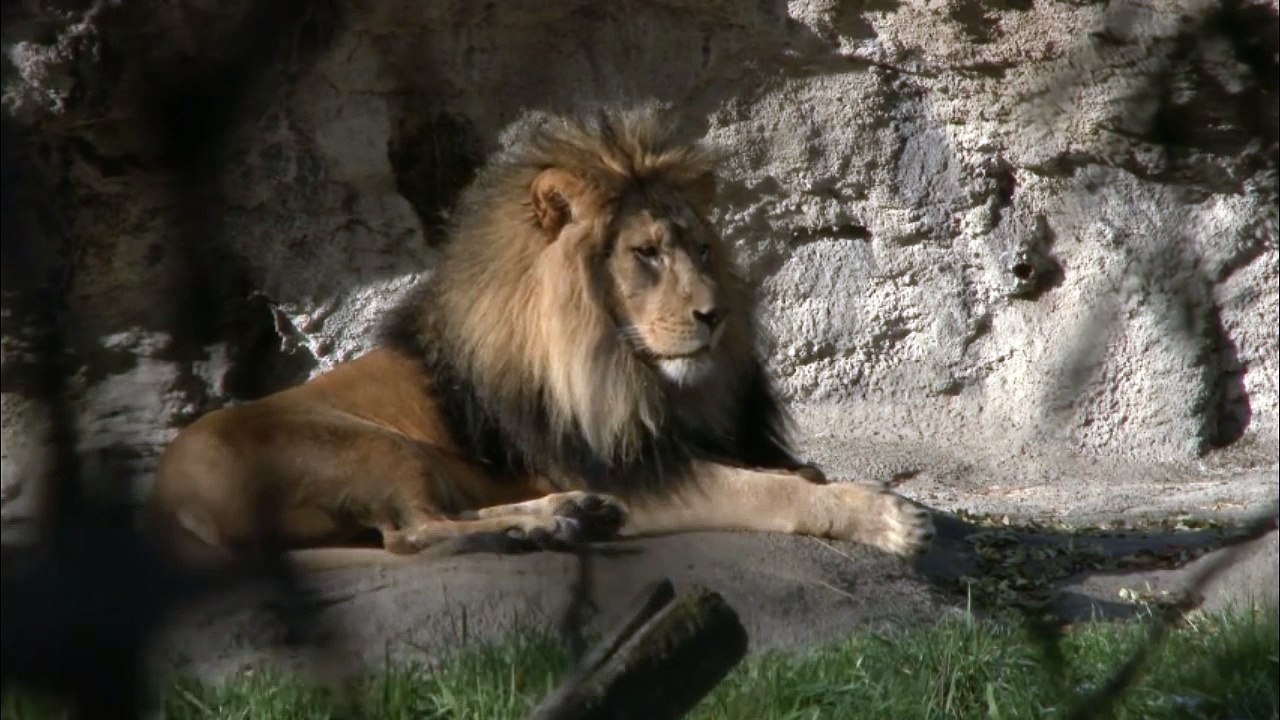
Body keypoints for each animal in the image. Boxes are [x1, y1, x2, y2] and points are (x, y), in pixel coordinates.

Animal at [147, 108, 934, 566]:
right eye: (647, 254)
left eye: (703, 250)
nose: (716, 316)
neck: (641, 377)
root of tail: (167, 495)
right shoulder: (639, 476)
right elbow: (768, 493)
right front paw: (888, 517)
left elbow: (785, 472)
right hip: (370, 448)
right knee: (411, 534)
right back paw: (540, 528)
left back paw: (566, 519)